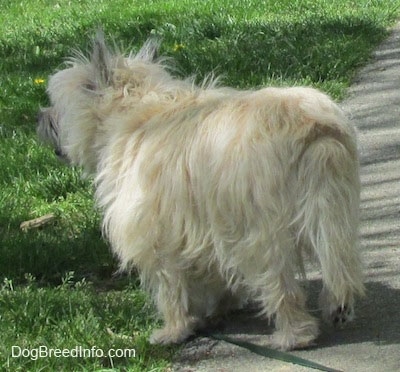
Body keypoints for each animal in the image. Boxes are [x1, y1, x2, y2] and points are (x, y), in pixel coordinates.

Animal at [38, 31, 366, 348]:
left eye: (57, 105)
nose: (39, 117)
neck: (134, 110)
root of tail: (314, 127)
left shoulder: (158, 235)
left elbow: (170, 288)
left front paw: (175, 329)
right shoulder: (205, 229)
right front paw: (222, 307)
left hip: (261, 233)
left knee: (281, 284)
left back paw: (294, 336)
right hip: (334, 211)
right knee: (340, 260)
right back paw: (338, 305)